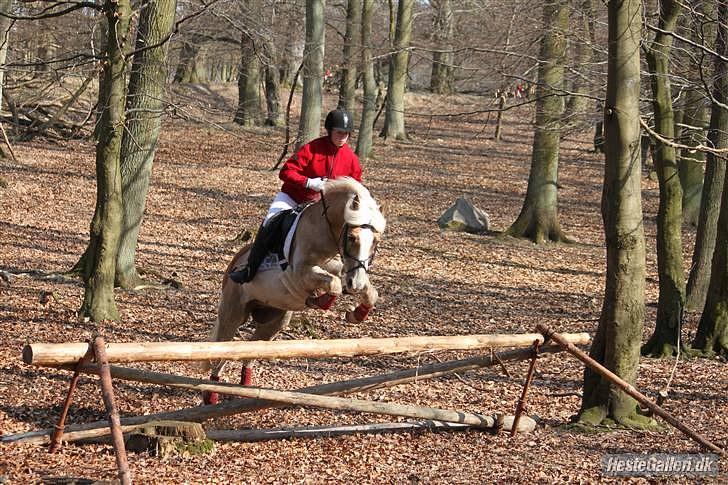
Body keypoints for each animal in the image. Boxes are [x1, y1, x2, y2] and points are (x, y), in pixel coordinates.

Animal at [202, 178, 386, 404]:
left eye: (375, 242)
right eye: (352, 238)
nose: (354, 285)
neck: (325, 233)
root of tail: (233, 264)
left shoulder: (340, 267)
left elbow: (367, 290)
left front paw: (357, 313)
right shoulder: (298, 274)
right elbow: (333, 283)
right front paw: (322, 301)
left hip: (274, 321)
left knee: (250, 349)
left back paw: (245, 387)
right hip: (233, 314)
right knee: (220, 352)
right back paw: (210, 396)